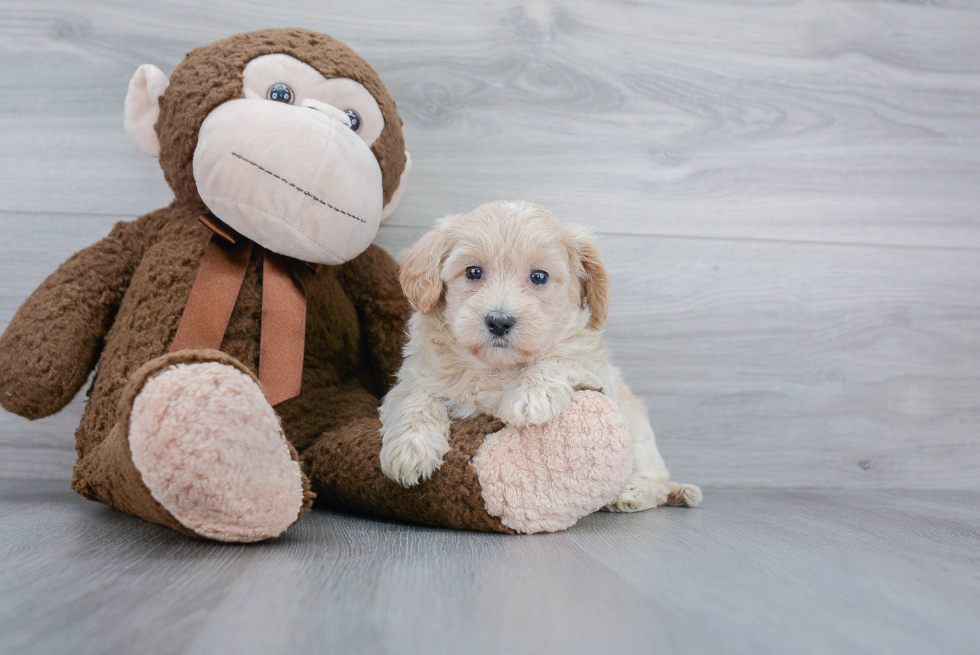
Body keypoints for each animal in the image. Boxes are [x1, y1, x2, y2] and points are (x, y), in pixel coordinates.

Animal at [378, 200, 704, 512]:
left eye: (539, 276)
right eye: (473, 272)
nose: (499, 321)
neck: (496, 367)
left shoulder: (592, 366)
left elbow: (561, 357)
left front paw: (531, 395)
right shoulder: (416, 374)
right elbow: (413, 398)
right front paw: (410, 448)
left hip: (639, 436)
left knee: (656, 482)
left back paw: (634, 493)